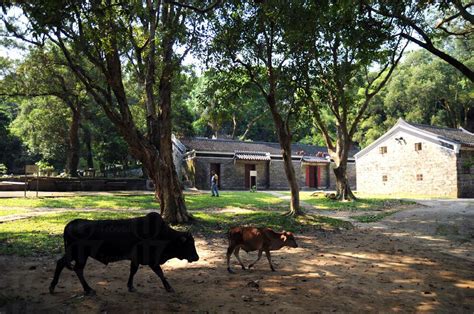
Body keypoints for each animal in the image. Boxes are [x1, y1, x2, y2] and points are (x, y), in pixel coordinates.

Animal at [50, 212, 200, 296]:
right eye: (188, 244)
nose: (196, 257)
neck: (163, 236)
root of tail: (71, 224)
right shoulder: (150, 259)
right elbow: (160, 273)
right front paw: (169, 288)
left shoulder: (137, 259)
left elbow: (134, 271)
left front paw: (130, 286)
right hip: (78, 254)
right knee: (73, 267)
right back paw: (85, 289)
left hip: (76, 255)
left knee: (67, 265)